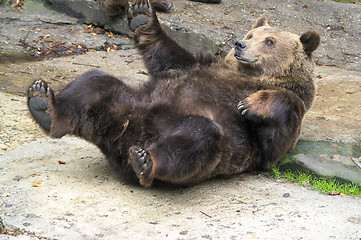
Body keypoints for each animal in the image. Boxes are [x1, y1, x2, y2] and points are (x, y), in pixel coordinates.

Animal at [27, 0, 318, 188]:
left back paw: (145, 161)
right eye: (250, 33)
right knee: (94, 83)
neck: (252, 76)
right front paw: (142, 14)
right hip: (124, 102)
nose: (239, 44)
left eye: (269, 41)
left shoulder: (268, 129)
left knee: (199, 137)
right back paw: (44, 103)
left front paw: (252, 104)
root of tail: (126, 136)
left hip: (215, 143)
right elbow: (169, 56)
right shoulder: (202, 65)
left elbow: (275, 139)